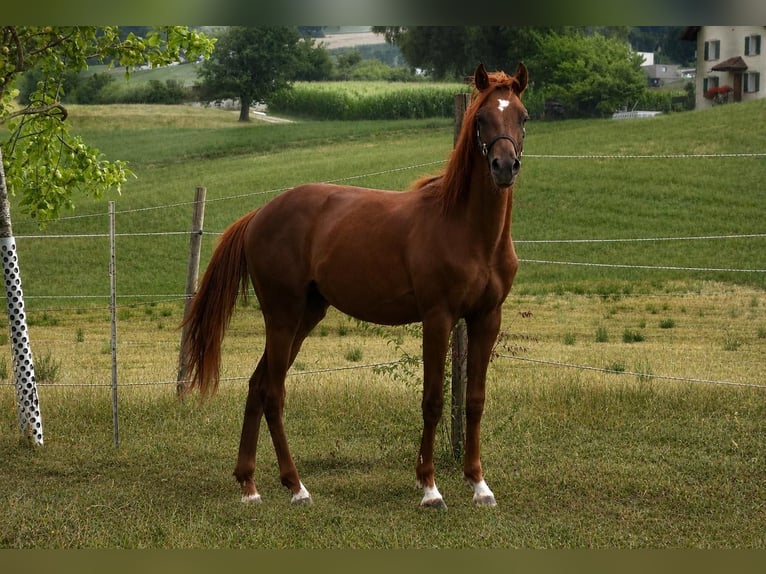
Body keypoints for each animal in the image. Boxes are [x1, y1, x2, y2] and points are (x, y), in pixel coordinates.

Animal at [180, 63, 529, 508]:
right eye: (482, 118)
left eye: (522, 116)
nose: (504, 166)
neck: (467, 229)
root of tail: (260, 214)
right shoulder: (438, 318)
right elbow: (432, 400)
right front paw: (430, 488)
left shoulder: (486, 318)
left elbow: (475, 400)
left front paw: (479, 484)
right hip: (282, 316)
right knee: (273, 392)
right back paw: (296, 486)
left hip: (307, 315)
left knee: (258, 385)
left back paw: (250, 486)